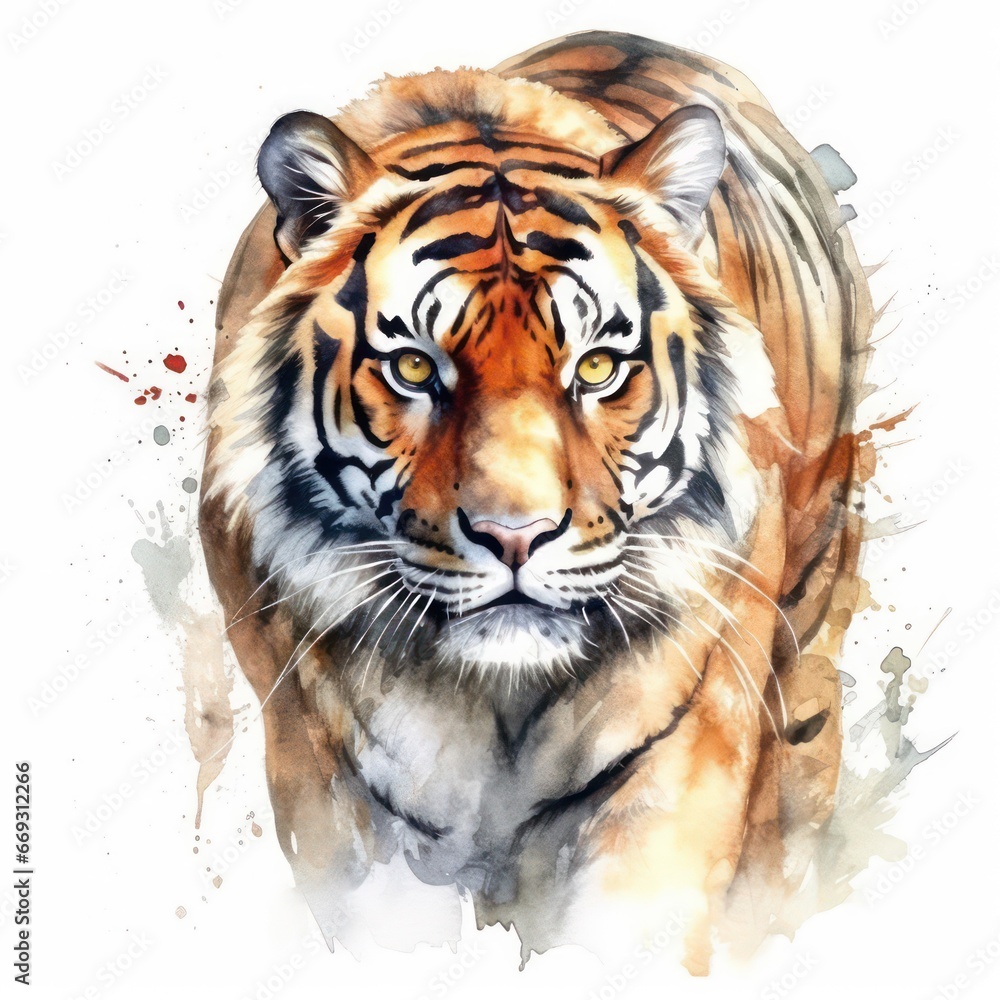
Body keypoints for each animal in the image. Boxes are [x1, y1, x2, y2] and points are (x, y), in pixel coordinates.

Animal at [199, 30, 873, 970]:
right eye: (415, 367)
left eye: (597, 367)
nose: (514, 537)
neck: (492, 701)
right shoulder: (329, 777)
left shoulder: (678, 761)